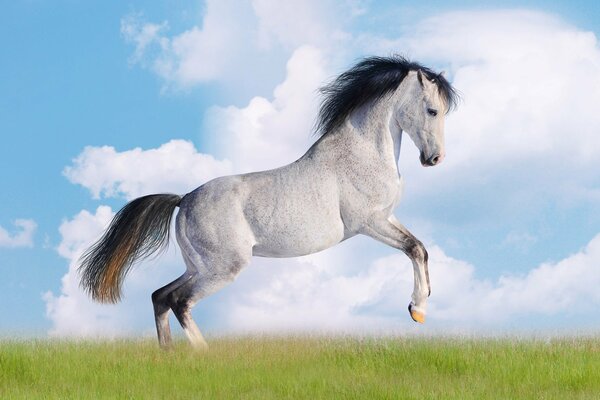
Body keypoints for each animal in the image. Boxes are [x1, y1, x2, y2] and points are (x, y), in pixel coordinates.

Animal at [77, 54, 458, 348]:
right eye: (432, 110)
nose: (434, 159)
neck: (361, 153)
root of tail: (183, 200)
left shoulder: (386, 218)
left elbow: (421, 249)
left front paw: (419, 310)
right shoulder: (369, 222)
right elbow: (413, 249)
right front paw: (417, 309)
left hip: (199, 266)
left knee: (160, 295)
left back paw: (168, 354)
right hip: (222, 268)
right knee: (178, 301)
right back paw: (202, 355)